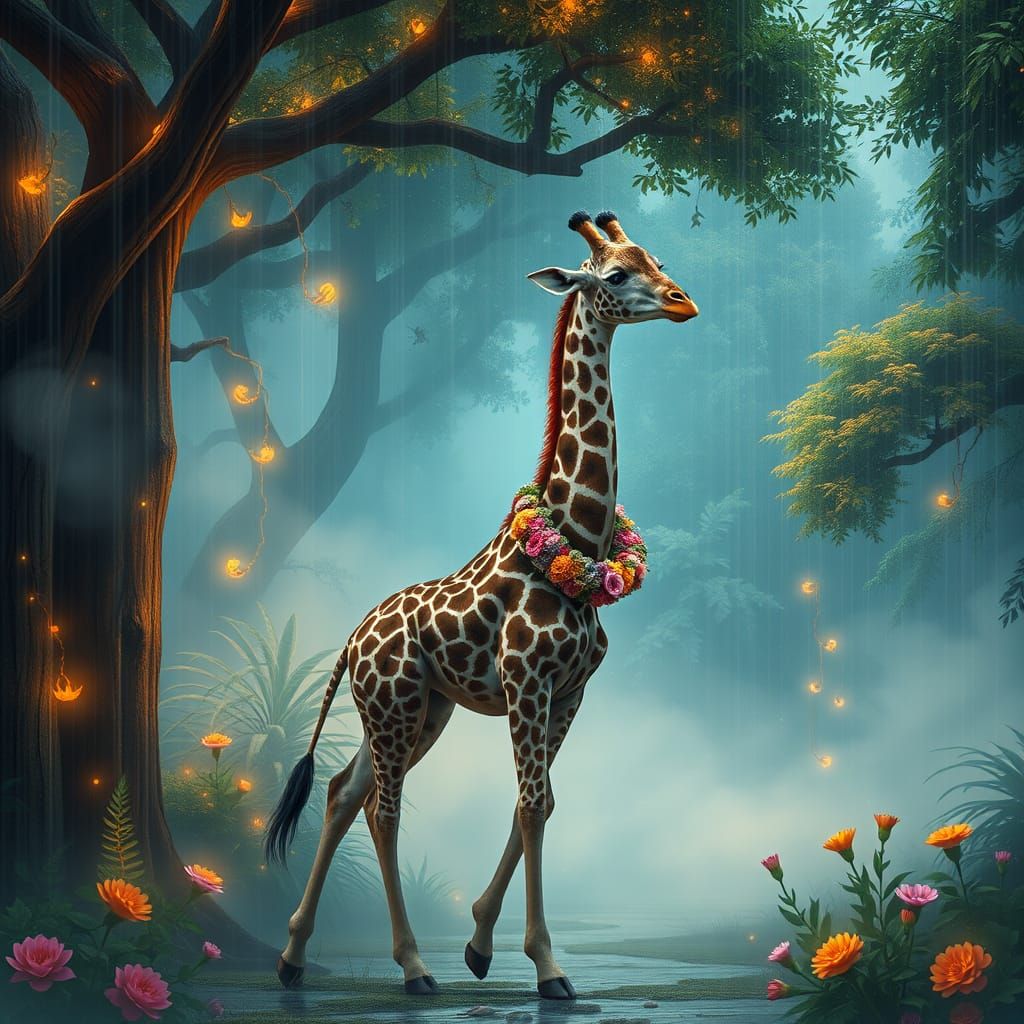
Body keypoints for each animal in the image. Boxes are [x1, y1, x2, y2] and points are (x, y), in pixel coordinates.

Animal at [265, 209, 699, 1000]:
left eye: (656, 259)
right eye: (616, 273)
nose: (683, 302)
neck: (577, 534)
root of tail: (351, 637)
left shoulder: (572, 689)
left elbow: (545, 799)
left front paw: (479, 943)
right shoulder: (528, 680)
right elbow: (530, 804)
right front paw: (548, 967)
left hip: (417, 710)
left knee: (343, 791)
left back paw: (293, 956)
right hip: (396, 706)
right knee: (383, 808)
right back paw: (411, 967)